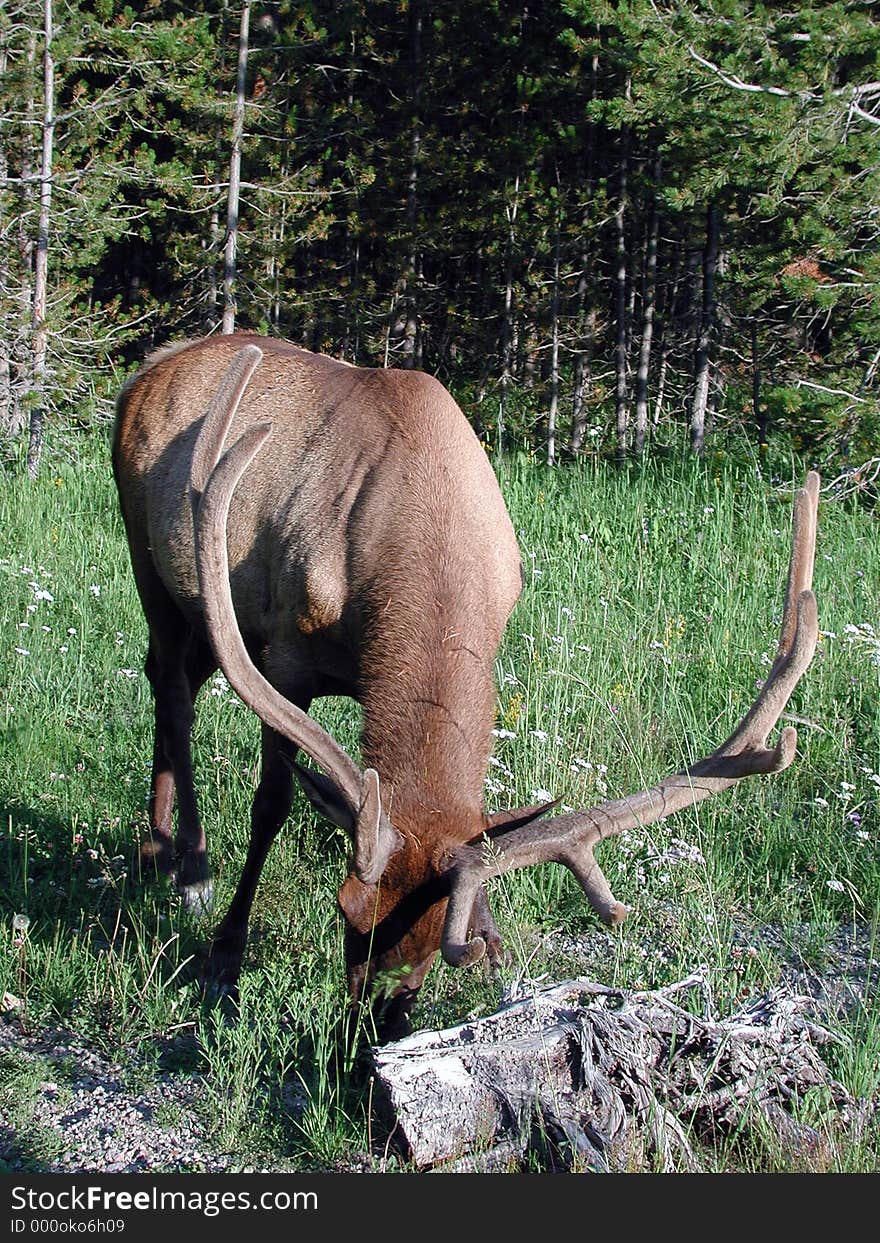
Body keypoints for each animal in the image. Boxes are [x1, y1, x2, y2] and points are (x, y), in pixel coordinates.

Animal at [113, 333, 820, 1039]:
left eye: (439, 942)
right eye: (346, 907)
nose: (377, 1027)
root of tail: (147, 369)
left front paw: (494, 941)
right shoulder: (285, 656)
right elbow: (272, 805)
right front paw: (224, 958)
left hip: (204, 613)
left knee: (171, 681)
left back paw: (156, 848)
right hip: (153, 562)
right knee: (171, 689)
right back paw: (189, 867)